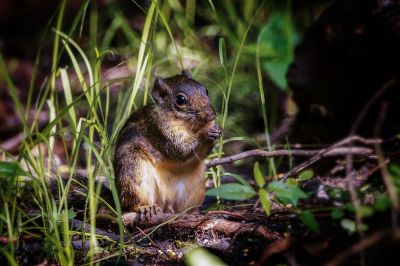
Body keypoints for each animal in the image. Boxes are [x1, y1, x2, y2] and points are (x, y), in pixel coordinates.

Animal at [113, 70, 222, 214]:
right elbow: (179, 150)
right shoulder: (159, 130)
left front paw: (218, 130)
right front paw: (205, 133)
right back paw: (144, 208)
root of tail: (166, 202)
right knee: (131, 203)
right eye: (180, 100)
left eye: (206, 90)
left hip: (195, 189)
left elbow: (201, 154)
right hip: (134, 173)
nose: (211, 115)